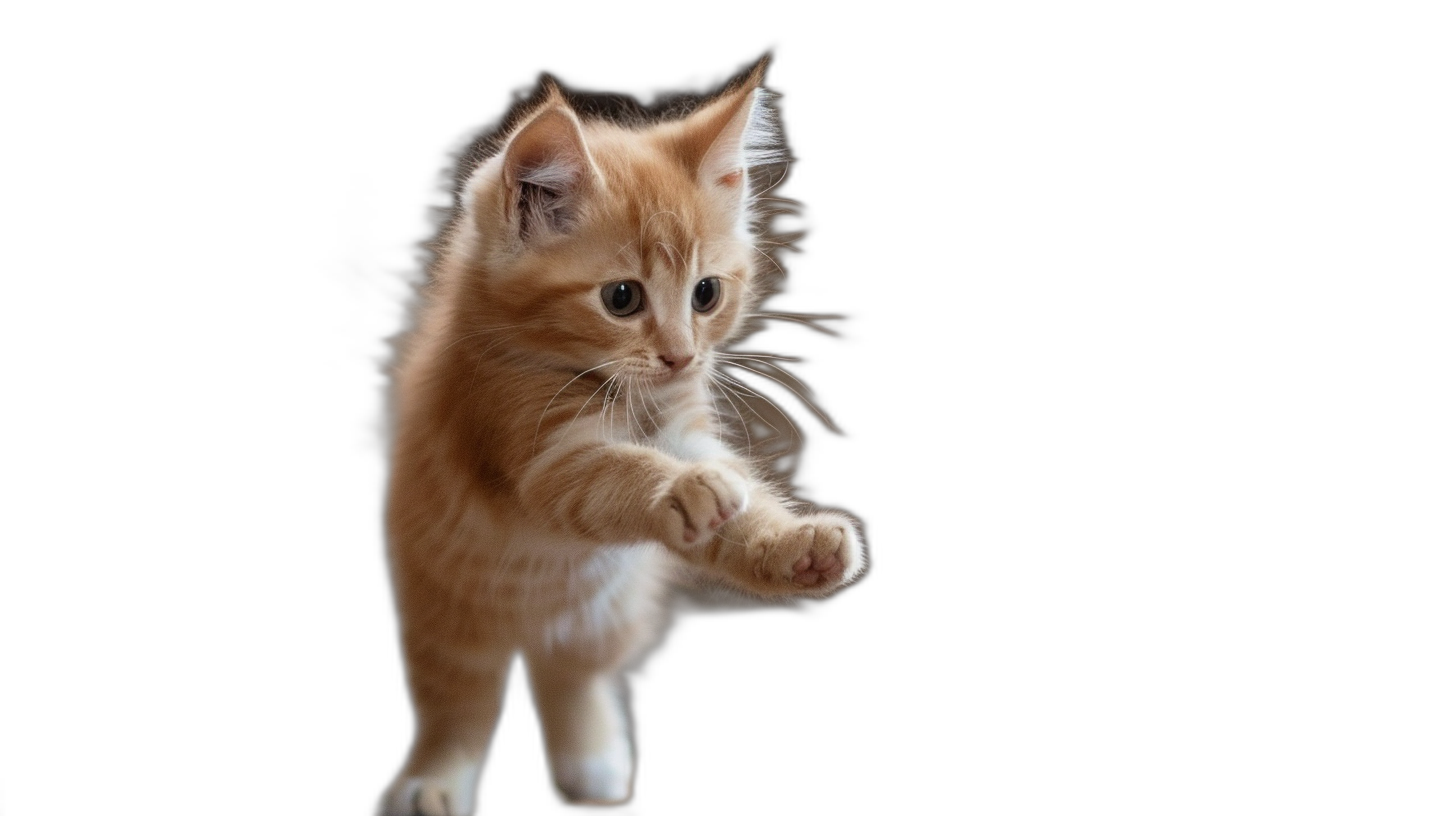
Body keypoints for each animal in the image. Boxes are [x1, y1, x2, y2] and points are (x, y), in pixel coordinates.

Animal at [375, 65, 867, 816]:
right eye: (622, 299)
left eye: (705, 294)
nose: (681, 356)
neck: (620, 393)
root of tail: (536, 626)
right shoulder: (533, 448)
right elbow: (612, 475)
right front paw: (681, 489)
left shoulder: (687, 431)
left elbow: (741, 508)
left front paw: (795, 545)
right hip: (449, 615)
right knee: (460, 703)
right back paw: (434, 783)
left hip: (604, 616)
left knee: (572, 672)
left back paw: (593, 764)